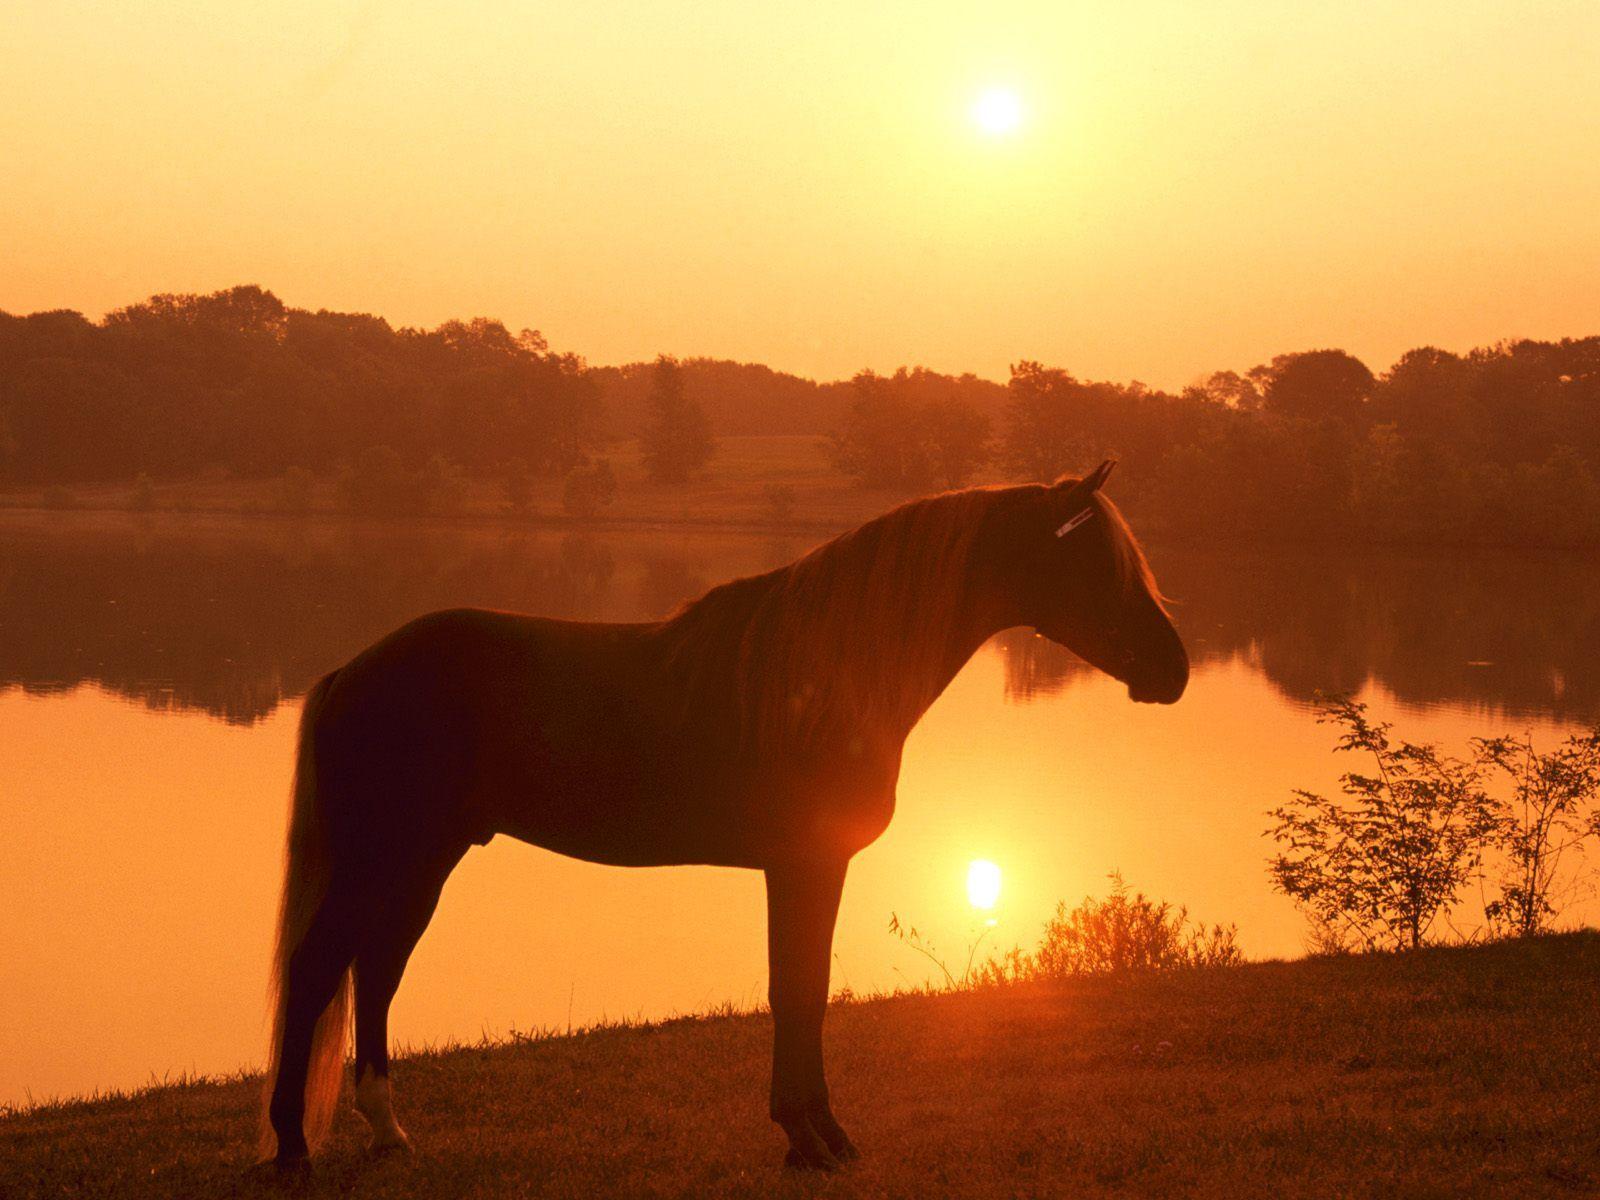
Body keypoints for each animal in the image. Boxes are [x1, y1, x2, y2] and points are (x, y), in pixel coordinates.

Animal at [258, 461, 1188, 1173]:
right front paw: (814, 1139)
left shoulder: (806, 865)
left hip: (422, 860)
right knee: (317, 971)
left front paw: (813, 1135)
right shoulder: (807, 862)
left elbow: (802, 989)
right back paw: (294, 1150)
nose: (1173, 668)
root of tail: (353, 669)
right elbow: (798, 989)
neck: (824, 672)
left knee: (375, 972)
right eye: (1097, 563)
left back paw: (388, 1131)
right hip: (383, 859)